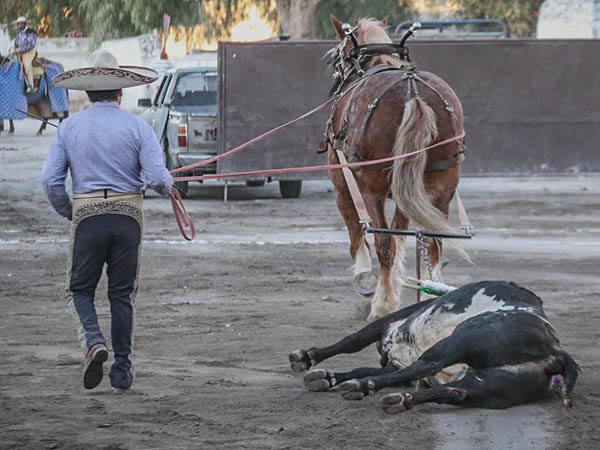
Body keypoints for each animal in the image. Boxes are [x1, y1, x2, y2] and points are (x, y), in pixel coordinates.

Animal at [288, 280, 580, 414]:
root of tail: (556, 351)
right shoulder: (392, 362)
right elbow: (366, 366)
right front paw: (327, 377)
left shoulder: (390, 322)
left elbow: (352, 341)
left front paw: (308, 358)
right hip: (490, 386)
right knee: (453, 392)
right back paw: (400, 400)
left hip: (460, 341)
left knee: (427, 366)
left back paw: (361, 388)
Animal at [326, 15, 466, 322]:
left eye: (336, 57)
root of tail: (414, 94)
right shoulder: (406, 193)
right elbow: (402, 234)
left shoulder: (343, 186)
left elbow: (360, 236)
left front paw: (369, 286)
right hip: (439, 187)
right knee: (433, 243)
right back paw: (432, 295)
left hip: (372, 188)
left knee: (383, 242)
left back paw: (381, 305)